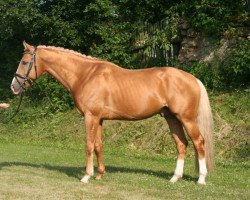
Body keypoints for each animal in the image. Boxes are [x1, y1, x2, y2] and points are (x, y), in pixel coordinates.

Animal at [10, 41, 214, 185]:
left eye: (25, 62)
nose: (13, 87)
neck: (85, 74)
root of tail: (193, 78)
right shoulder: (99, 119)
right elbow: (98, 145)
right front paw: (100, 174)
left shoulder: (90, 117)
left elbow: (89, 145)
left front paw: (86, 176)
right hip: (172, 118)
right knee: (181, 144)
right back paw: (174, 178)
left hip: (186, 119)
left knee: (199, 142)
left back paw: (201, 179)